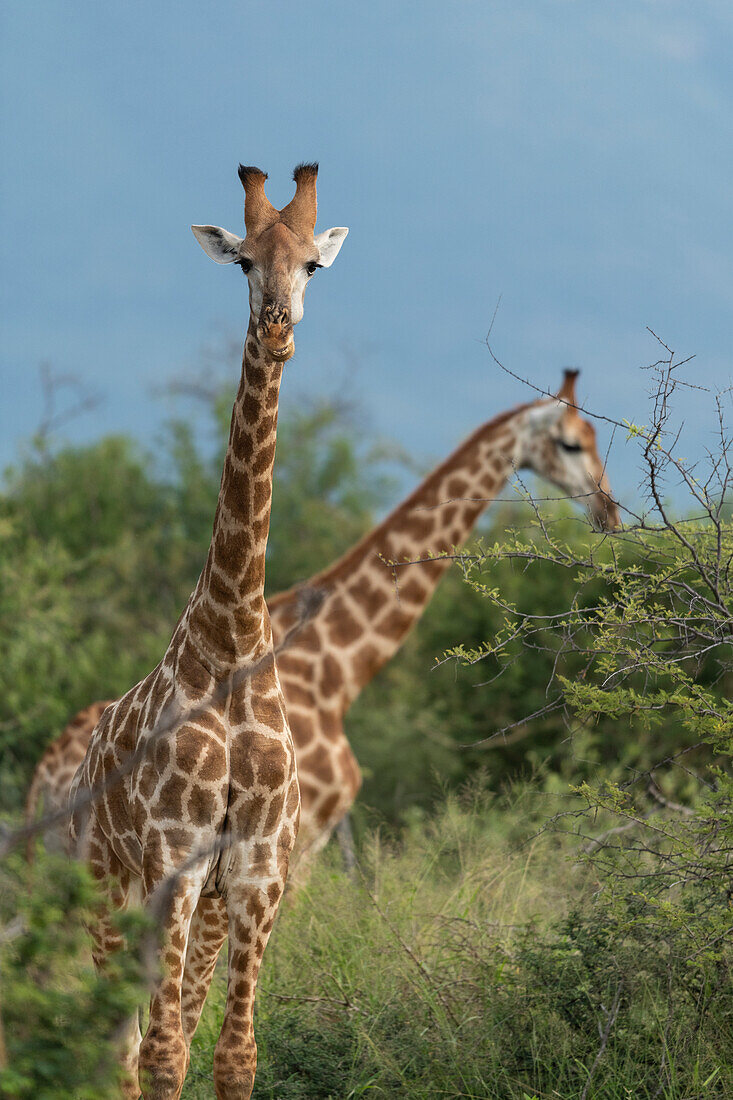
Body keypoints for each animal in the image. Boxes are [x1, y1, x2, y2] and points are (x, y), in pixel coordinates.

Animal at [67, 162, 347, 1100]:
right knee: (121, 1047)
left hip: (206, 908)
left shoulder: (255, 875)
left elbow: (232, 1055)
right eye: (244, 262)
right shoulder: (173, 867)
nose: (279, 330)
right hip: (106, 894)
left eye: (311, 264)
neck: (228, 640)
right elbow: (163, 1057)